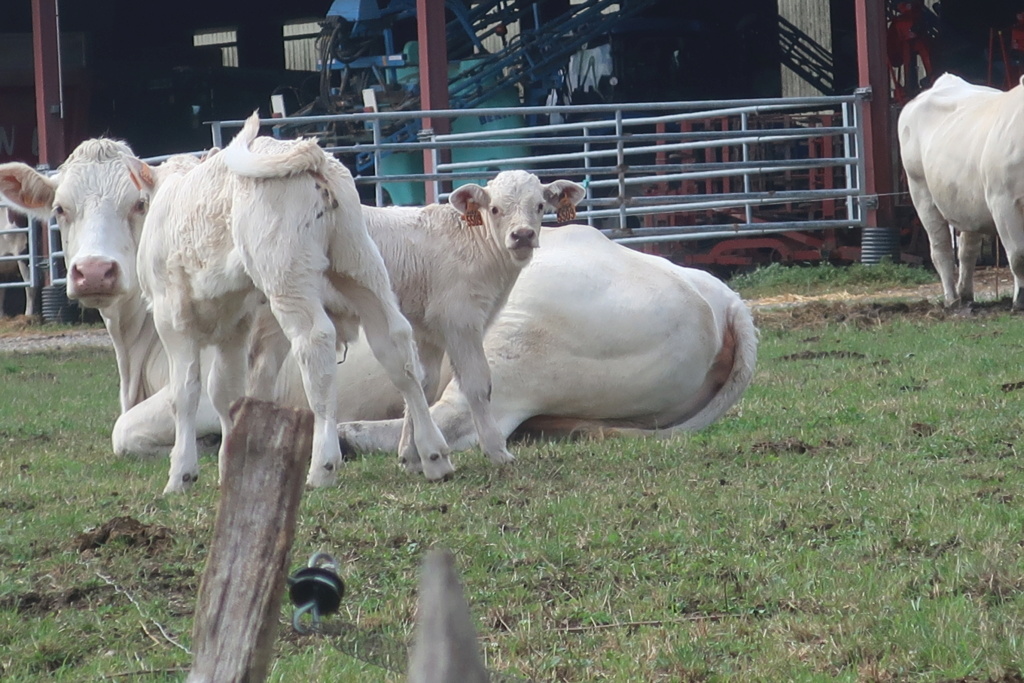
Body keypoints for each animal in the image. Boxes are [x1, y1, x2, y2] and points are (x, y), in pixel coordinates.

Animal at [901, 72, 1024, 309]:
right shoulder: (1003, 202)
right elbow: (1018, 255)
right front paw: (1019, 301)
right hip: (921, 192)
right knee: (941, 249)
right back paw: (951, 300)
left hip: (968, 201)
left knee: (967, 250)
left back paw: (966, 294)